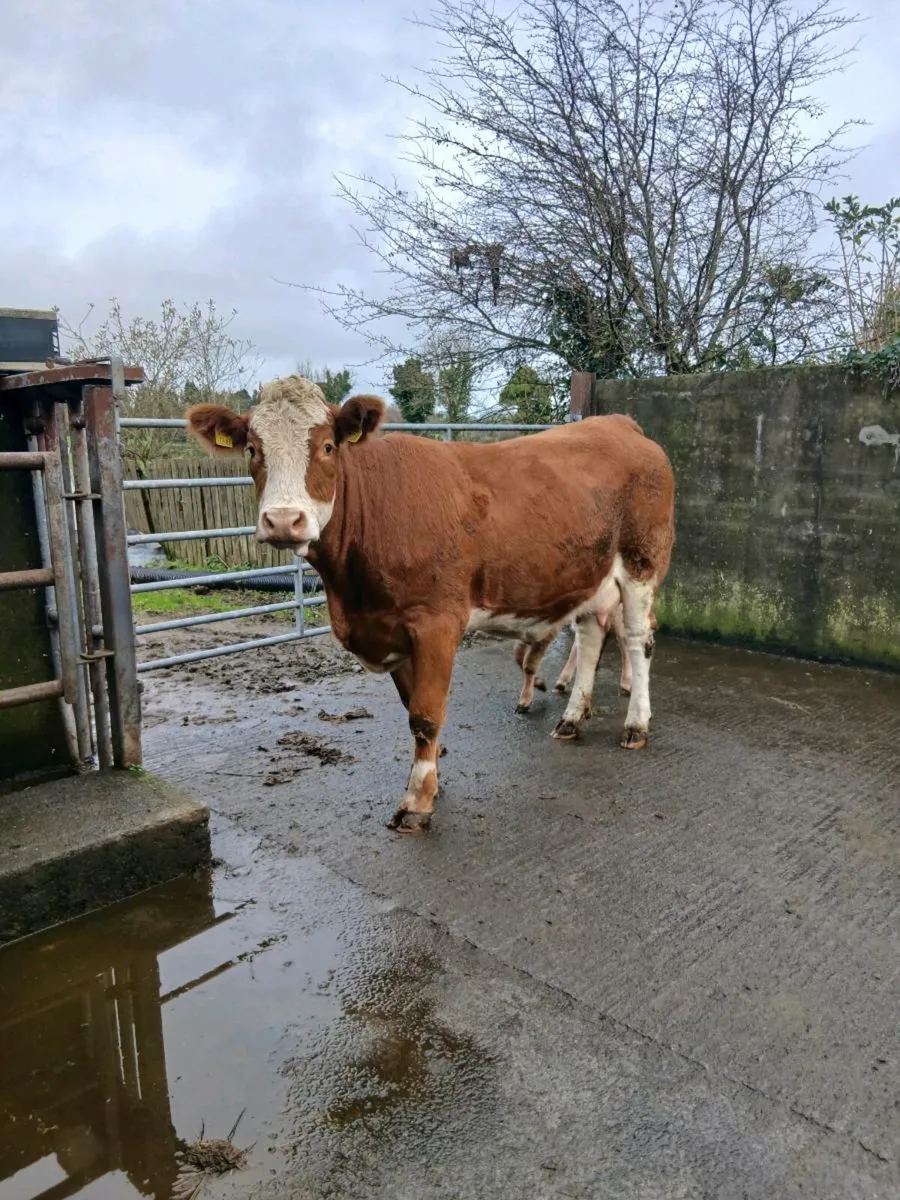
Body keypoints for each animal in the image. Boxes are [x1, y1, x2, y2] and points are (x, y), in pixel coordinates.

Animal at [186, 376, 675, 833]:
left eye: (326, 446)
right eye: (253, 449)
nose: (284, 521)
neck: (352, 592)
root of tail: (617, 424)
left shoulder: (437, 623)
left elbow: (424, 714)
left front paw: (417, 802)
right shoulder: (391, 630)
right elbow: (411, 708)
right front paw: (431, 777)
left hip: (642, 562)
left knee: (638, 639)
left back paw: (636, 725)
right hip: (590, 573)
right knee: (592, 635)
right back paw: (572, 719)